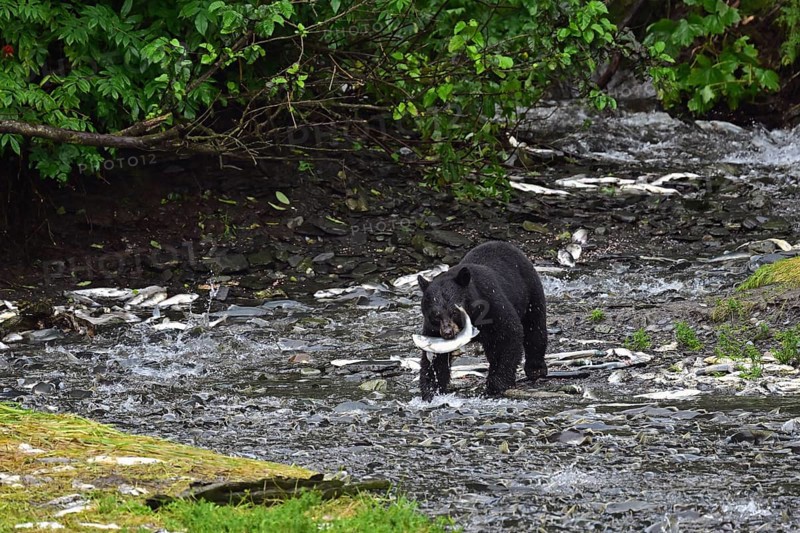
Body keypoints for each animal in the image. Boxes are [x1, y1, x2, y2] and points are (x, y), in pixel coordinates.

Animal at [417, 241, 547, 401]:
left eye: (454, 312)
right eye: (435, 315)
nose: (447, 332)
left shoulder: (492, 304)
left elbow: (509, 334)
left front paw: (497, 383)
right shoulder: (432, 329)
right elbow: (435, 356)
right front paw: (431, 390)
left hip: (530, 291)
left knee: (534, 327)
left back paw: (536, 369)